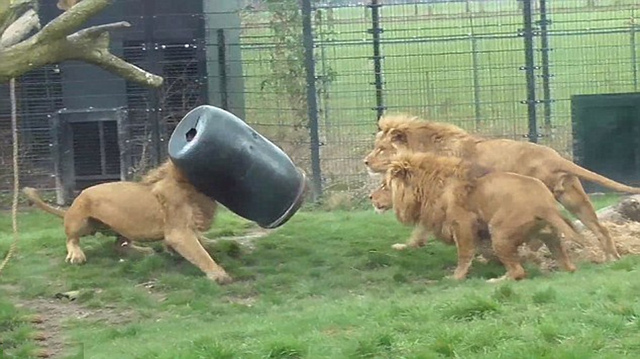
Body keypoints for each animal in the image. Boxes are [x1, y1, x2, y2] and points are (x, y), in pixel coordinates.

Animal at [23, 160, 232, 284]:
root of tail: (70, 207)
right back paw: (76, 255)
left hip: (123, 227)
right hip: (82, 222)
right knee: (71, 239)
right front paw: (219, 274)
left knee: (118, 246)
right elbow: (200, 254)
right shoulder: (178, 232)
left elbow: (204, 244)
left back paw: (144, 251)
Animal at [364, 114, 640, 262]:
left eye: (381, 149)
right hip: (574, 198)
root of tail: (553, 157)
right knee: (600, 228)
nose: (365, 161)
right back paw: (611, 259)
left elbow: (422, 228)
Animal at [382, 150, 584, 282]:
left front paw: (456, 276)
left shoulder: (463, 223)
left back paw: (497, 280)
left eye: (384, 186)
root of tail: (546, 205)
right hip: (550, 237)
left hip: (500, 232)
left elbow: (464, 254)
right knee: (570, 267)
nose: (373, 199)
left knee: (518, 273)